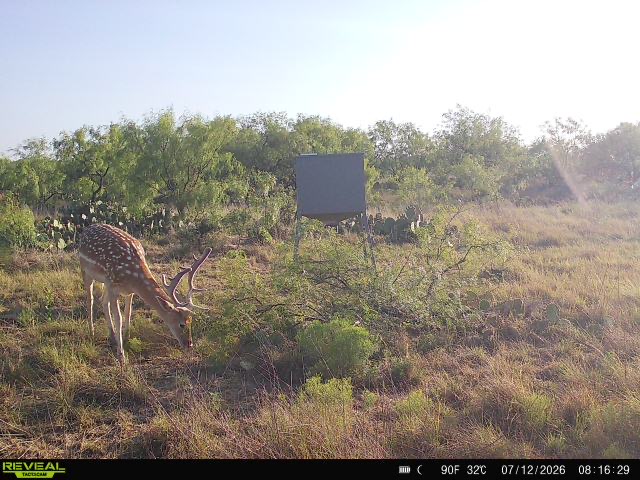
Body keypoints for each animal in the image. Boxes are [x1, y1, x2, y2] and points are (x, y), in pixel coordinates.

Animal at [78, 223, 211, 365]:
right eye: (181, 324)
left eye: (191, 321)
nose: (189, 344)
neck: (133, 277)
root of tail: (87, 229)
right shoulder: (112, 285)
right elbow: (118, 318)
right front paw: (121, 357)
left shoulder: (128, 291)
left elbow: (128, 312)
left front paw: (126, 338)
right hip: (85, 269)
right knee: (90, 299)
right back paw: (91, 332)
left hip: (105, 283)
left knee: (103, 301)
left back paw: (112, 336)